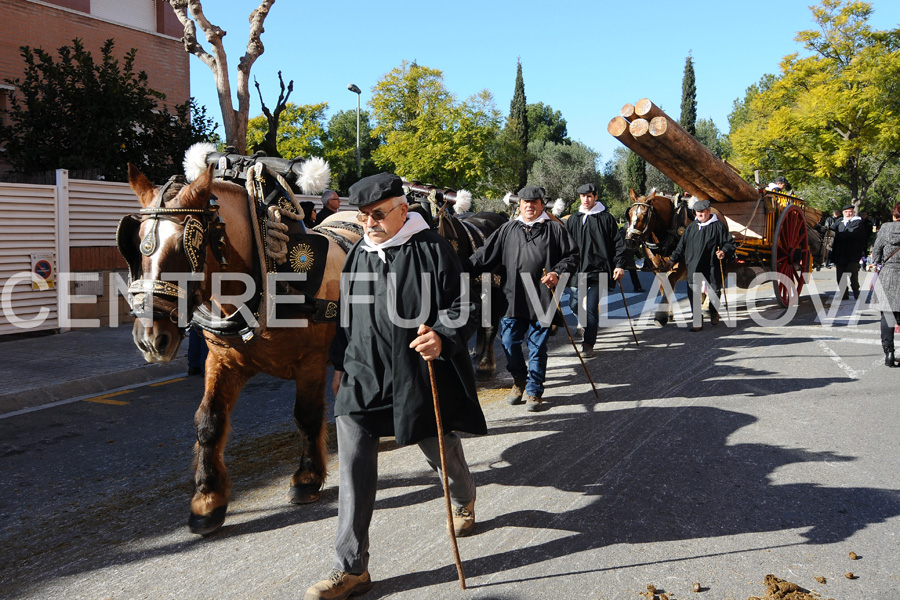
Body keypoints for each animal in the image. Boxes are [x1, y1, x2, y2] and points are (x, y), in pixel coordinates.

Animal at [120, 161, 358, 536]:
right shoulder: (222, 361)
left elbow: (306, 415)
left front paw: (307, 477)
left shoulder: (311, 361)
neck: (269, 272)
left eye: (185, 248)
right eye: (136, 246)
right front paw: (207, 498)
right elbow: (208, 421)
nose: (149, 338)